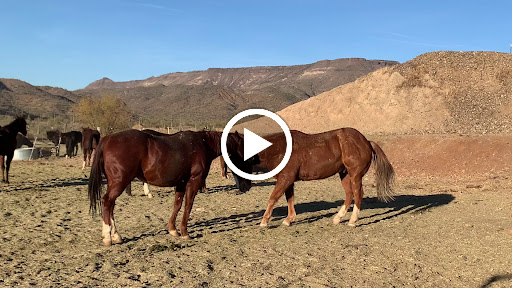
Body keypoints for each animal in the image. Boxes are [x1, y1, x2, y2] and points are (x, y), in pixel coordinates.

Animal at [89, 129, 255, 244]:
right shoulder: (193, 181)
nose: (247, 186)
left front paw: (173, 229)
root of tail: (107, 139)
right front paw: (184, 232)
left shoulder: (181, 183)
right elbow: (188, 205)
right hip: (119, 182)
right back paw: (108, 237)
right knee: (106, 202)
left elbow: (177, 204)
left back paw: (116, 235)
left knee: (111, 205)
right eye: (246, 156)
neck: (203, 144)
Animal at [249, 127, 396, 227]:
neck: (281, 148)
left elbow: (273, 197)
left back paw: (352, 221)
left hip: (355, 175)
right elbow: (289, 199)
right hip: (344, 174)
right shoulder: (288, 180)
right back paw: (338, 218)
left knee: (357, 193)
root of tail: (367, 142)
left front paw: (264, 221)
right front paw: (288, 219)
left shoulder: (286, 178)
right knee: (349, 194)